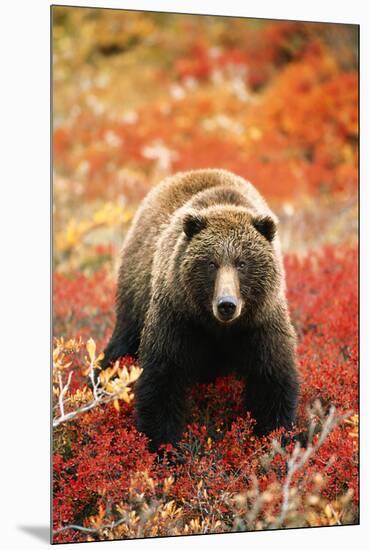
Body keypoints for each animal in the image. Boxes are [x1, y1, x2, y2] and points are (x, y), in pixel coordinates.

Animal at [100, 170, 300, 450]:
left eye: (242, 263)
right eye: (211, 263)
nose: (226, 304)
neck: (219, 328)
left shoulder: (261, 324)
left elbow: (272, 381)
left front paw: (276, 439)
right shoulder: (178, 318)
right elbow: (162, 380)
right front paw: (165, 447)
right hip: (136, 293)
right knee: (121, 345)